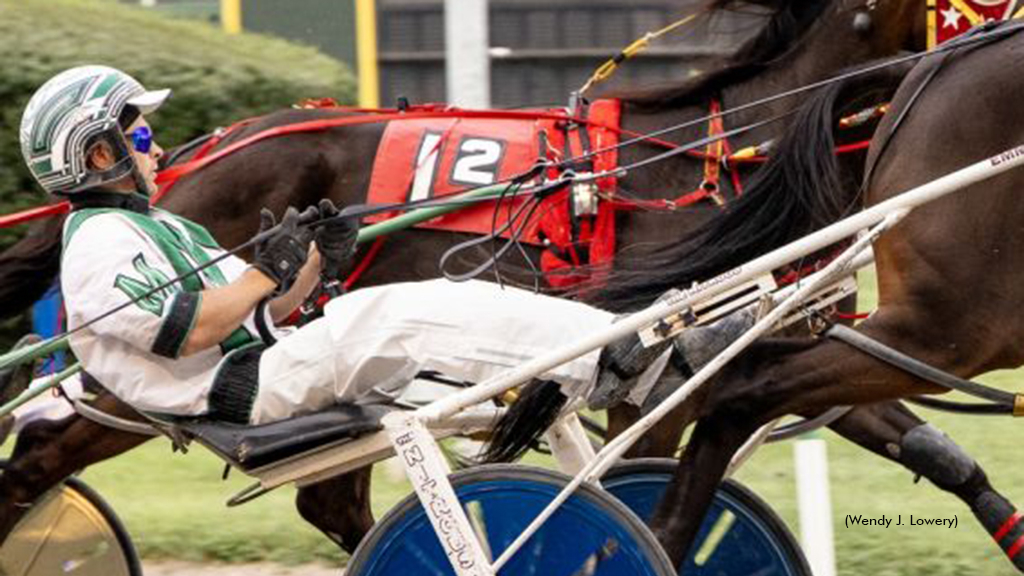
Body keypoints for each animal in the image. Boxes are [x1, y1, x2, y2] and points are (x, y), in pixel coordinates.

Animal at [0, 0, 933, 557]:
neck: (718, 151)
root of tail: (199, 154)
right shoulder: (691, 367)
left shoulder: (818, 343)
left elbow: (918, 439)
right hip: (156, 387)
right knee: (44, 448)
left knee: (329, 502)